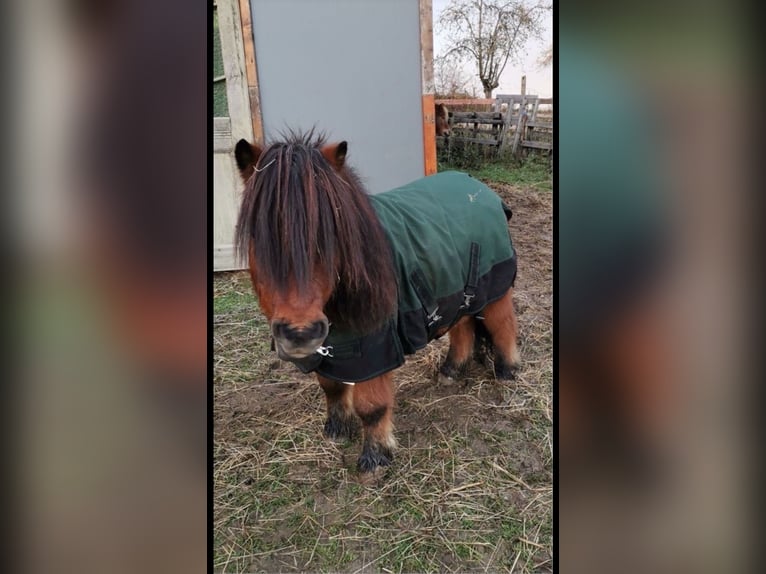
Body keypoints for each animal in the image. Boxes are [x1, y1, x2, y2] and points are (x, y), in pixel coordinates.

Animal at [234, 130, 519, 474]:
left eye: (330, 234)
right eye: (258, 236)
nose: (299, 334)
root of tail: (482, 191)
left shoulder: (377, 347)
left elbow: (371, 406)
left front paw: (375, 459)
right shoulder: (330, 350)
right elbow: (331, 387)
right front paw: (337, 430)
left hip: (495, 290)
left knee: (502, 325)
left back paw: (507, 372)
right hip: (459, 291)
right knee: (463, 328)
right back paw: (451, 371)